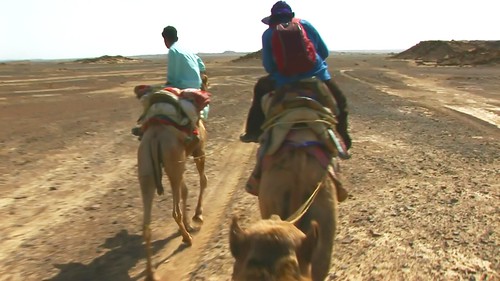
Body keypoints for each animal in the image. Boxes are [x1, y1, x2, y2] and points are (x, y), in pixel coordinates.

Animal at [136, 88, 208, 278]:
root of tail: (155, 136)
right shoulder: (199, 151)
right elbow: (203, 181)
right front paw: (197, 216)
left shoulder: (182, 161)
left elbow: (186, 190)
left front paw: (189, 224)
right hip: (172, 162)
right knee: (174, 212)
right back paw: (187, 238)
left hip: (147, 167)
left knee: (146, 224)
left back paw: (150, 273)